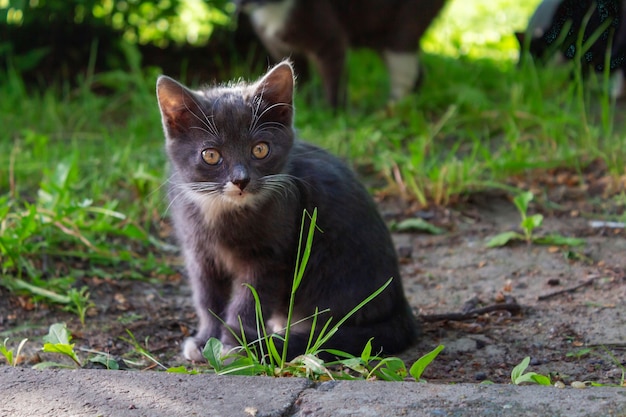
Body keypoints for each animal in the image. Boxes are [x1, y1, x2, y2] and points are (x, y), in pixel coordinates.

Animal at [156, 61, 420, 360]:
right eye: (210, 155)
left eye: (260, 149)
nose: (240, 180)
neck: (223, 211)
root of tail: (401, 308)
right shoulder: (199, 252)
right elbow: (207, 297)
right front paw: (206, 340)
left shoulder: (271, 255)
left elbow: (250, 301)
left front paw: (235, 344)